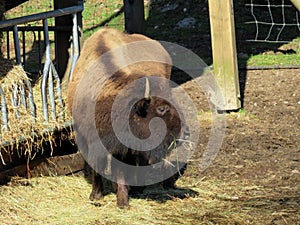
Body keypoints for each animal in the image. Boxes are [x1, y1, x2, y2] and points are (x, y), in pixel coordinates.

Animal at [69, 28, 189, 209]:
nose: (185, 133)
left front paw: (123, 201)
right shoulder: (89, 139)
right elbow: (97, 167)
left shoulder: (122, 148)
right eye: (161, 109)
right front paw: (96, 196)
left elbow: (121, 170)